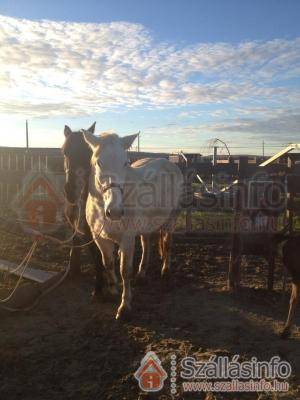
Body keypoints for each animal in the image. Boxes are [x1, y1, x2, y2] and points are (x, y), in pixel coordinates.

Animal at [83, 131, 184, 318]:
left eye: (125, 162)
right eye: (98, 162)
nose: (115, 211)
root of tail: (168, 162)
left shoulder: (127, 239)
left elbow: (125, 270)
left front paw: (125, 306)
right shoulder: (100, 238)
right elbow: (108, 263)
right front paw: (113, 291)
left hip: (171, 218)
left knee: (167, 243)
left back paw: (165, 271)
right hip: (147, 224)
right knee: (146, 244)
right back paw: (142, 274)